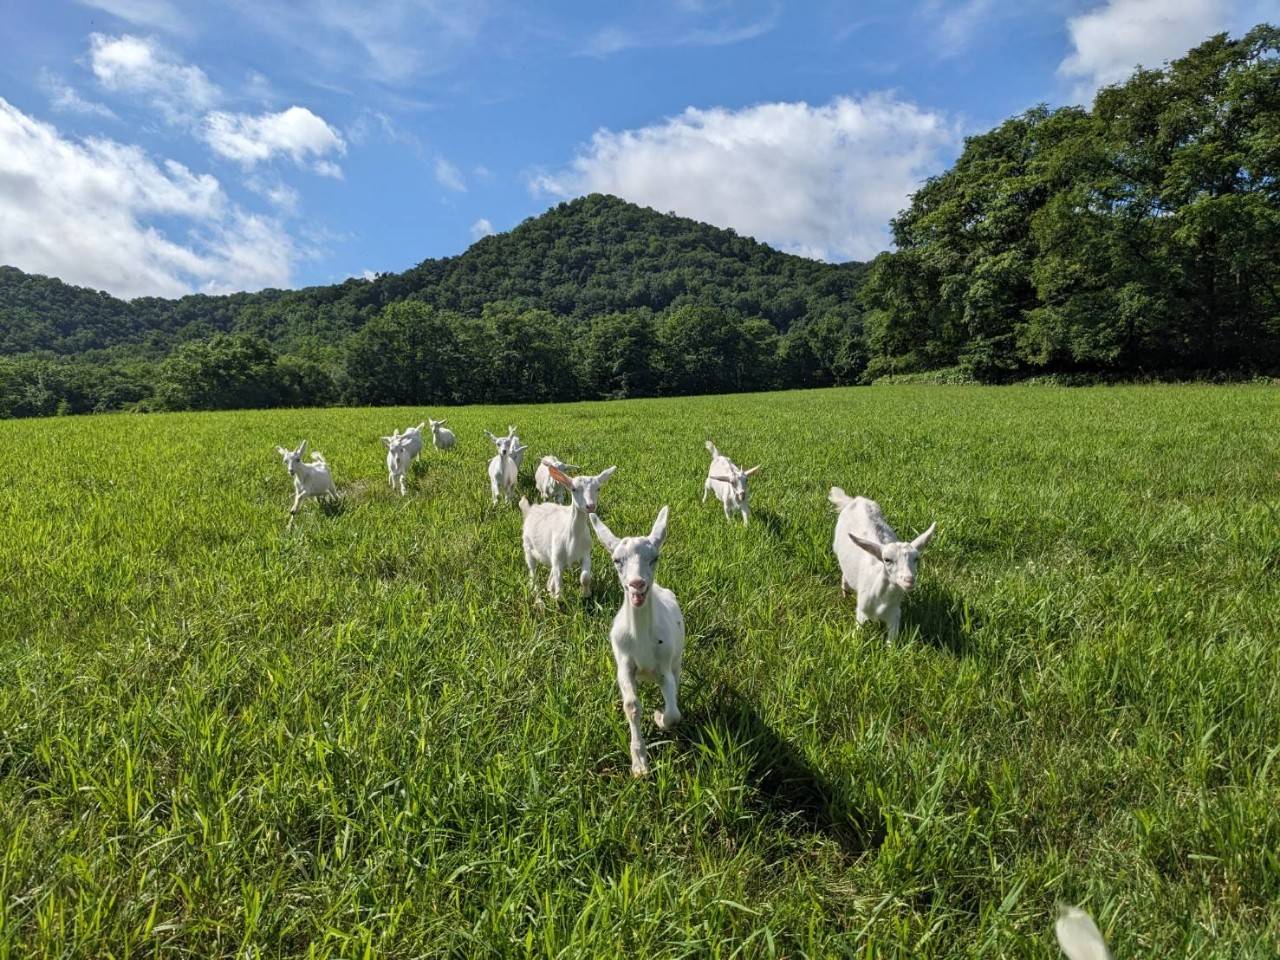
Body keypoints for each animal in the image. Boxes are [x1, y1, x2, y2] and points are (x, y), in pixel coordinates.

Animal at [519, 465, 616, 600]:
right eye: (574, 489)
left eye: (598, 488)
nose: (590, 506)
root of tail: (531, 509)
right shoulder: (557, 555)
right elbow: (559, 583)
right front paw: (558, 599)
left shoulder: (585, 553)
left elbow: (585, 577)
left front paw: (586, 594)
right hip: (528, 547)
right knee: (533, 572)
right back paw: (538, 597)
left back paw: (549, 589)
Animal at [589, 506, 685, 777]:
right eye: (616, 560)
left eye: (655, 558)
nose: (637, 584)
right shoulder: (624, 664)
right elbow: (632, 705)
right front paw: (640, 764)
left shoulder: (664, 667)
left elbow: (674, 713)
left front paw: (659, 717)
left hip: (677, 659)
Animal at [829, 487, 936, 642]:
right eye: (887, 559)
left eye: (916, 559)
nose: (909, 580)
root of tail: (856, 500)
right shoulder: (861, 610)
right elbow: (857, 634)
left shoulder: (894, 614)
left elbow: (892, 642)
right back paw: (845, 594)